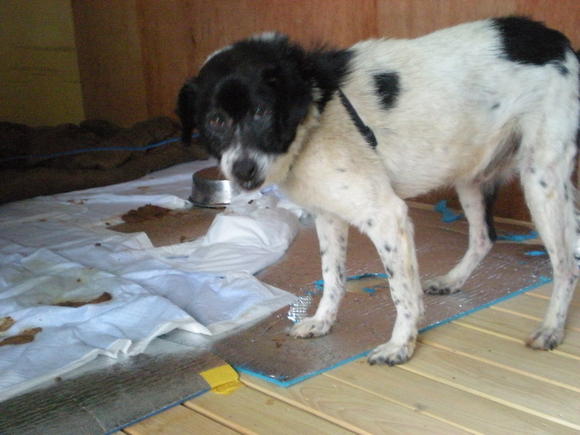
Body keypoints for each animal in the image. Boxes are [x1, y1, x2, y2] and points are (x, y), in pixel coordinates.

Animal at [179, 15, 576, 366]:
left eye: (261, 111)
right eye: (215, 120)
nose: (243, 171)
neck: (314, 114)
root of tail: (557, 40)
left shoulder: (386, 216)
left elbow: (402, 293)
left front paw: (401, 346)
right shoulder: (328, 217)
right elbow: (332, 277)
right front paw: (322, 322)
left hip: (540, 180)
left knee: (565, 264)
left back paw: (552, 328)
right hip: (474, 175)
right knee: (485, 237)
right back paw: (453, 280)